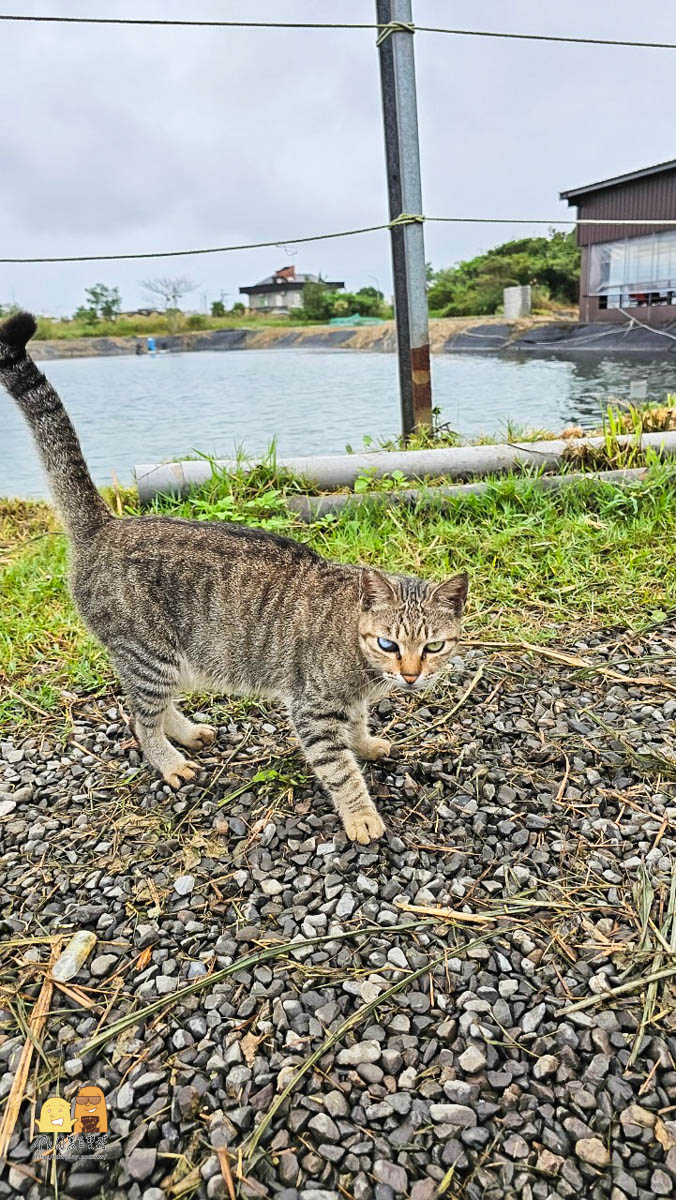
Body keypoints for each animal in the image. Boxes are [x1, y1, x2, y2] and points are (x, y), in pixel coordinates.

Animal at [0, 314, 468, 849]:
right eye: (389, 644)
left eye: (433, 647)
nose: (410, 675)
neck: (360, 656)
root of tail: (105, 524)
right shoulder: (313, 710)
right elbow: (340, 771)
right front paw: (361, 816)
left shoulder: (348, 704)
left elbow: (357, 727)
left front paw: (366, 743)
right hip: (151, 654)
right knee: (139, 718)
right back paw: (170, 761)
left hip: (170, 659)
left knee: (150, 708)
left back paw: (185, 733)